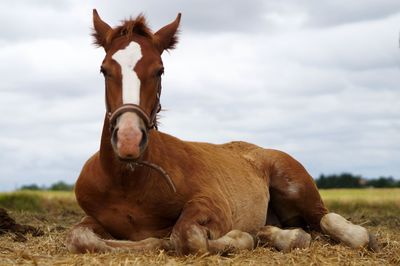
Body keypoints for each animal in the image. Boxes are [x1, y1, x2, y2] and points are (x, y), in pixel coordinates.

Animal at [65, 9, 376, 256]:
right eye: (104, 69)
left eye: (160, 70)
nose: (129, 141)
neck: (130, 183)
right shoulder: (94, 219)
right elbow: (79, 238)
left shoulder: (212, 205)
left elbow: (187, 237)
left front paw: (239, 237)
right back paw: (275, 234)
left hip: (296, 185)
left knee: (330, 222)